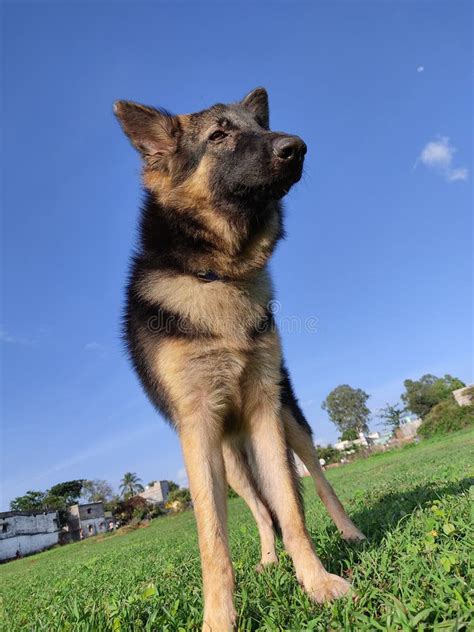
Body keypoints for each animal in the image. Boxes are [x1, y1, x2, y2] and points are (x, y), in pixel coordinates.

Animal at [115, 89, 366, 632]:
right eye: (219, 135)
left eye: (259, 126)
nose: (297, 147)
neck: (218, 273)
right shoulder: (198, 431)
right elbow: (215, 539)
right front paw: (219, 619)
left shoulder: (263, 410)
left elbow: (293, 511)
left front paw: (317, 583)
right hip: (230, 461)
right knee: (259, 512)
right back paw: (269, 560)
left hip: (291, 423)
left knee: (316, 484)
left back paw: (351, 533)